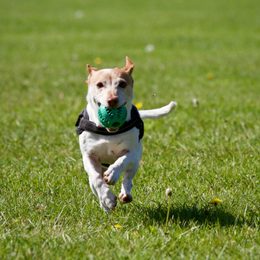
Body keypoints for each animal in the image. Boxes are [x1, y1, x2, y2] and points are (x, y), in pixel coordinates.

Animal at [75, 57, 177, 211]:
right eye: (99, 84)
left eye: (122, 84)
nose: (112, 100)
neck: (108, 132)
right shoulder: (89, 156)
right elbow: (96, 179)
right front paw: (107, 199)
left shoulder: (133, 152)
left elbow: (122, 160)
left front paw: (112, 173)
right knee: (94, 183)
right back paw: (104, 205)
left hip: (135, 162)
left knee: (128, 177)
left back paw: (125, 194)